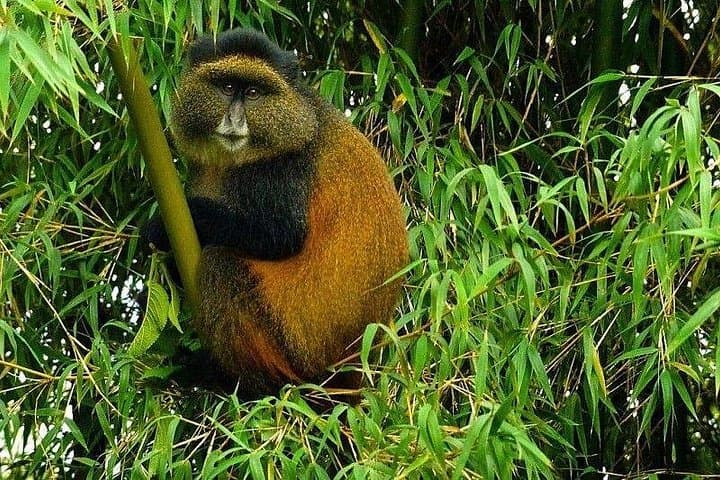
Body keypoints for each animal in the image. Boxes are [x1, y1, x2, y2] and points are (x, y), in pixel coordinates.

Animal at [146, 28, 408, 397]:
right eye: (227, 86)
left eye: (254, 93)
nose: (235, 120)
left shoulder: (284, 167)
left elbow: (280, 236)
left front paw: (163, 226)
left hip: (291, 344)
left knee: (220, 264)